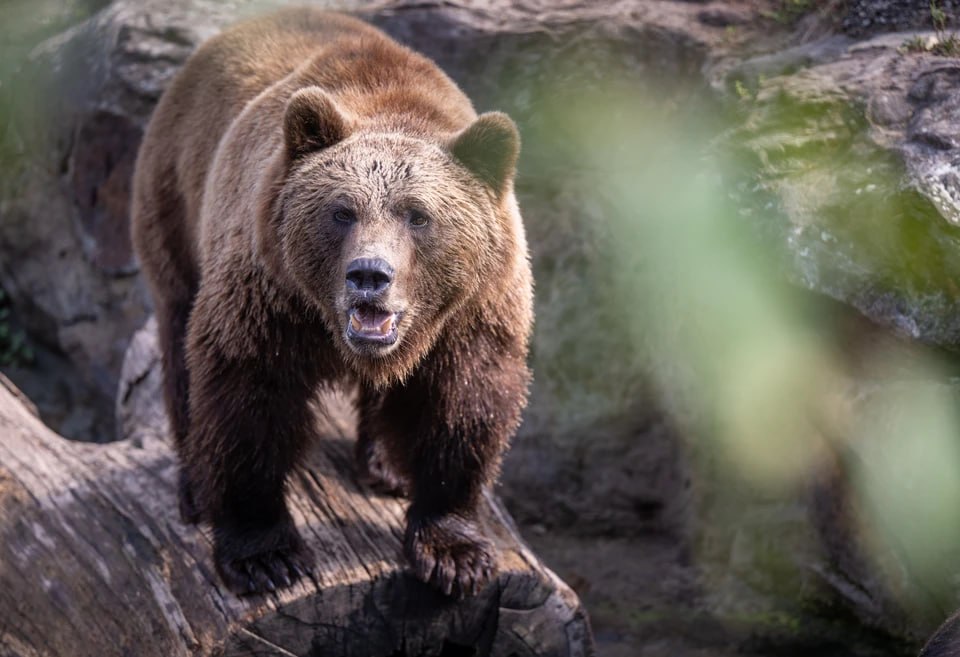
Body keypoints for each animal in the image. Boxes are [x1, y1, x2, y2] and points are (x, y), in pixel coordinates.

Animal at [130, 7, 532, 598]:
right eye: (342, 211)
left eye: (418, 215)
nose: (369, 275)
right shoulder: (269, 295)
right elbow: (246, 399)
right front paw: (264, 555)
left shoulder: (472, 310)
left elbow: (463, 406)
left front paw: (453, 552)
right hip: (176, 199)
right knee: (180, 339)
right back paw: (194, 487)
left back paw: (387, 465)